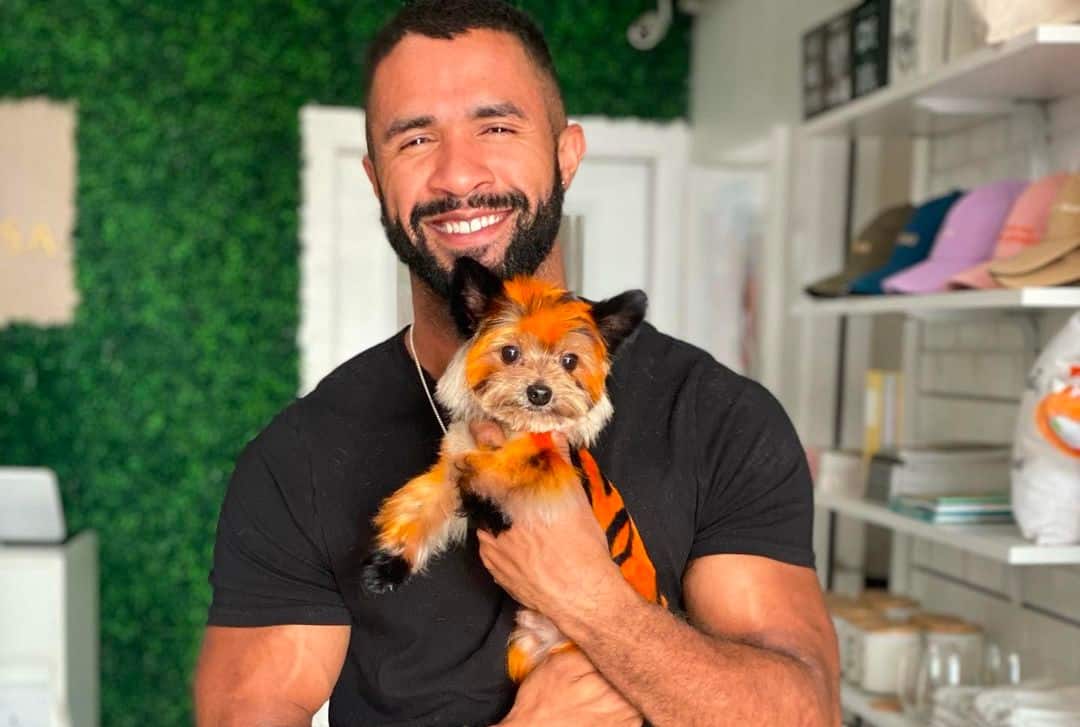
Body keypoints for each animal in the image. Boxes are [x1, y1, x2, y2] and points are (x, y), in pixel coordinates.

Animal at [362, 259, 665, 682]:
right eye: (509, 352)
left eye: (569, 361)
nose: (539, 393)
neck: (511, 429)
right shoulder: (451, 468)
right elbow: (421, 508)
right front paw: (391, 565)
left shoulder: (547, 471)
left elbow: (501, 473)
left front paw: (488, 500)